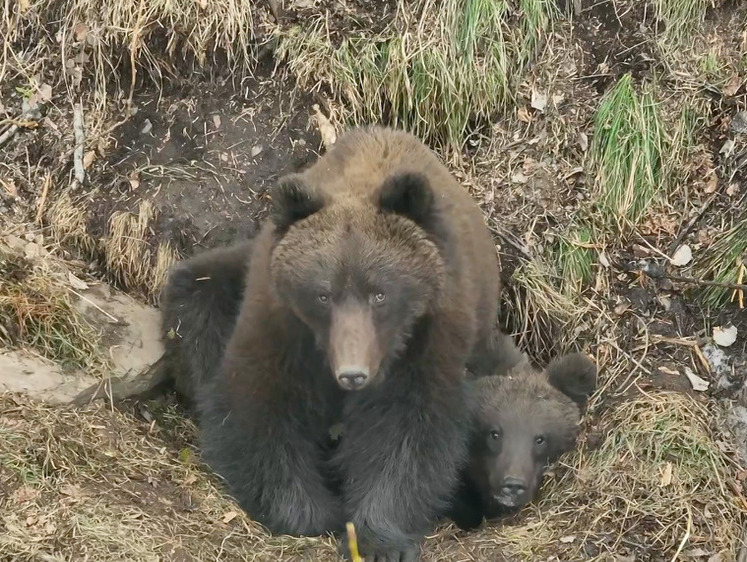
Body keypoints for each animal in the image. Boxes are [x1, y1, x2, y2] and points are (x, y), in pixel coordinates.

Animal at [197, 127, 502, 560]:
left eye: (380, 293)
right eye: (323, 294)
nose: (353, 374)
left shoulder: (426, 334)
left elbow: (407, 428)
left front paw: (376, 537)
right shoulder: (281, 324)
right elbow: (260, 405)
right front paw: (309, 511)